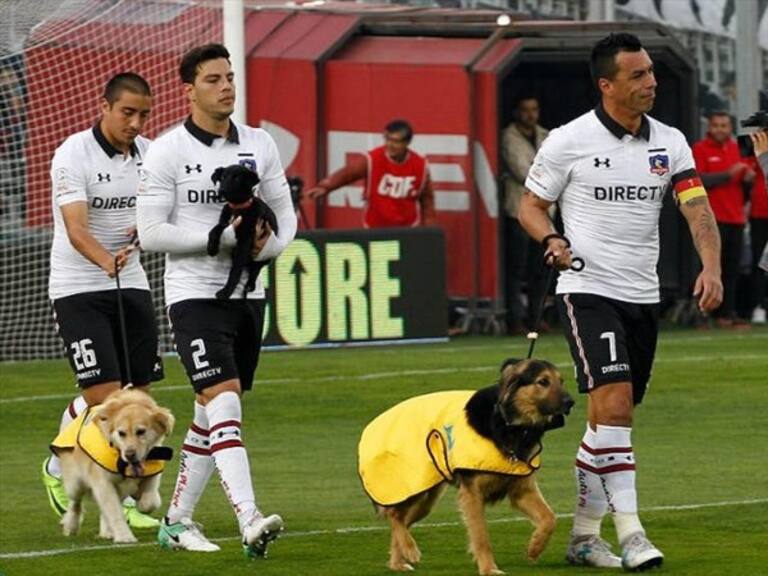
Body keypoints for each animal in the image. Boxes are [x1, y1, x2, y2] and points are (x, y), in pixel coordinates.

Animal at [207, 162, 280, 296]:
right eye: (223, 177)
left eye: (237, 179)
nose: (222, 191)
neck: (238, 208)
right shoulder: (225, 223)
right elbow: (214, 230)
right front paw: (211, 248)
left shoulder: (245, 240)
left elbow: (235, 270)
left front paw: (226, 291)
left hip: (263, 258)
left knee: (255, 269)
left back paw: (250, 285)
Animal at [358, 358, 568, 572]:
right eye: (543, 381)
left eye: (561, 381)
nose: (571, 402)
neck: (507, 424)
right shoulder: (472, 494)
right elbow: (481, 537)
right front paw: (488, 569)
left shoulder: (522, 491)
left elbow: (550, 518)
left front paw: (535, 547)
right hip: (412, 487)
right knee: (394, 515)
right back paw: (409, 549)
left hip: (427, 497)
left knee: (401, 520)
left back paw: (398, 562)